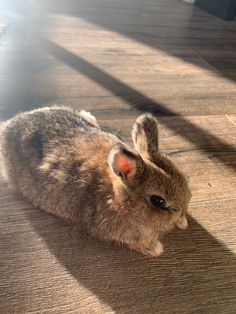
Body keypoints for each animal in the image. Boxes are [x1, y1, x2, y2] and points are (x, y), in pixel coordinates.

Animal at [0, 105, 191, 255]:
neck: (118, 197)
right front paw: (156, 248)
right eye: (158, 201)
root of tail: (6, 127)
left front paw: (183, 223)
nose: (182, 212)